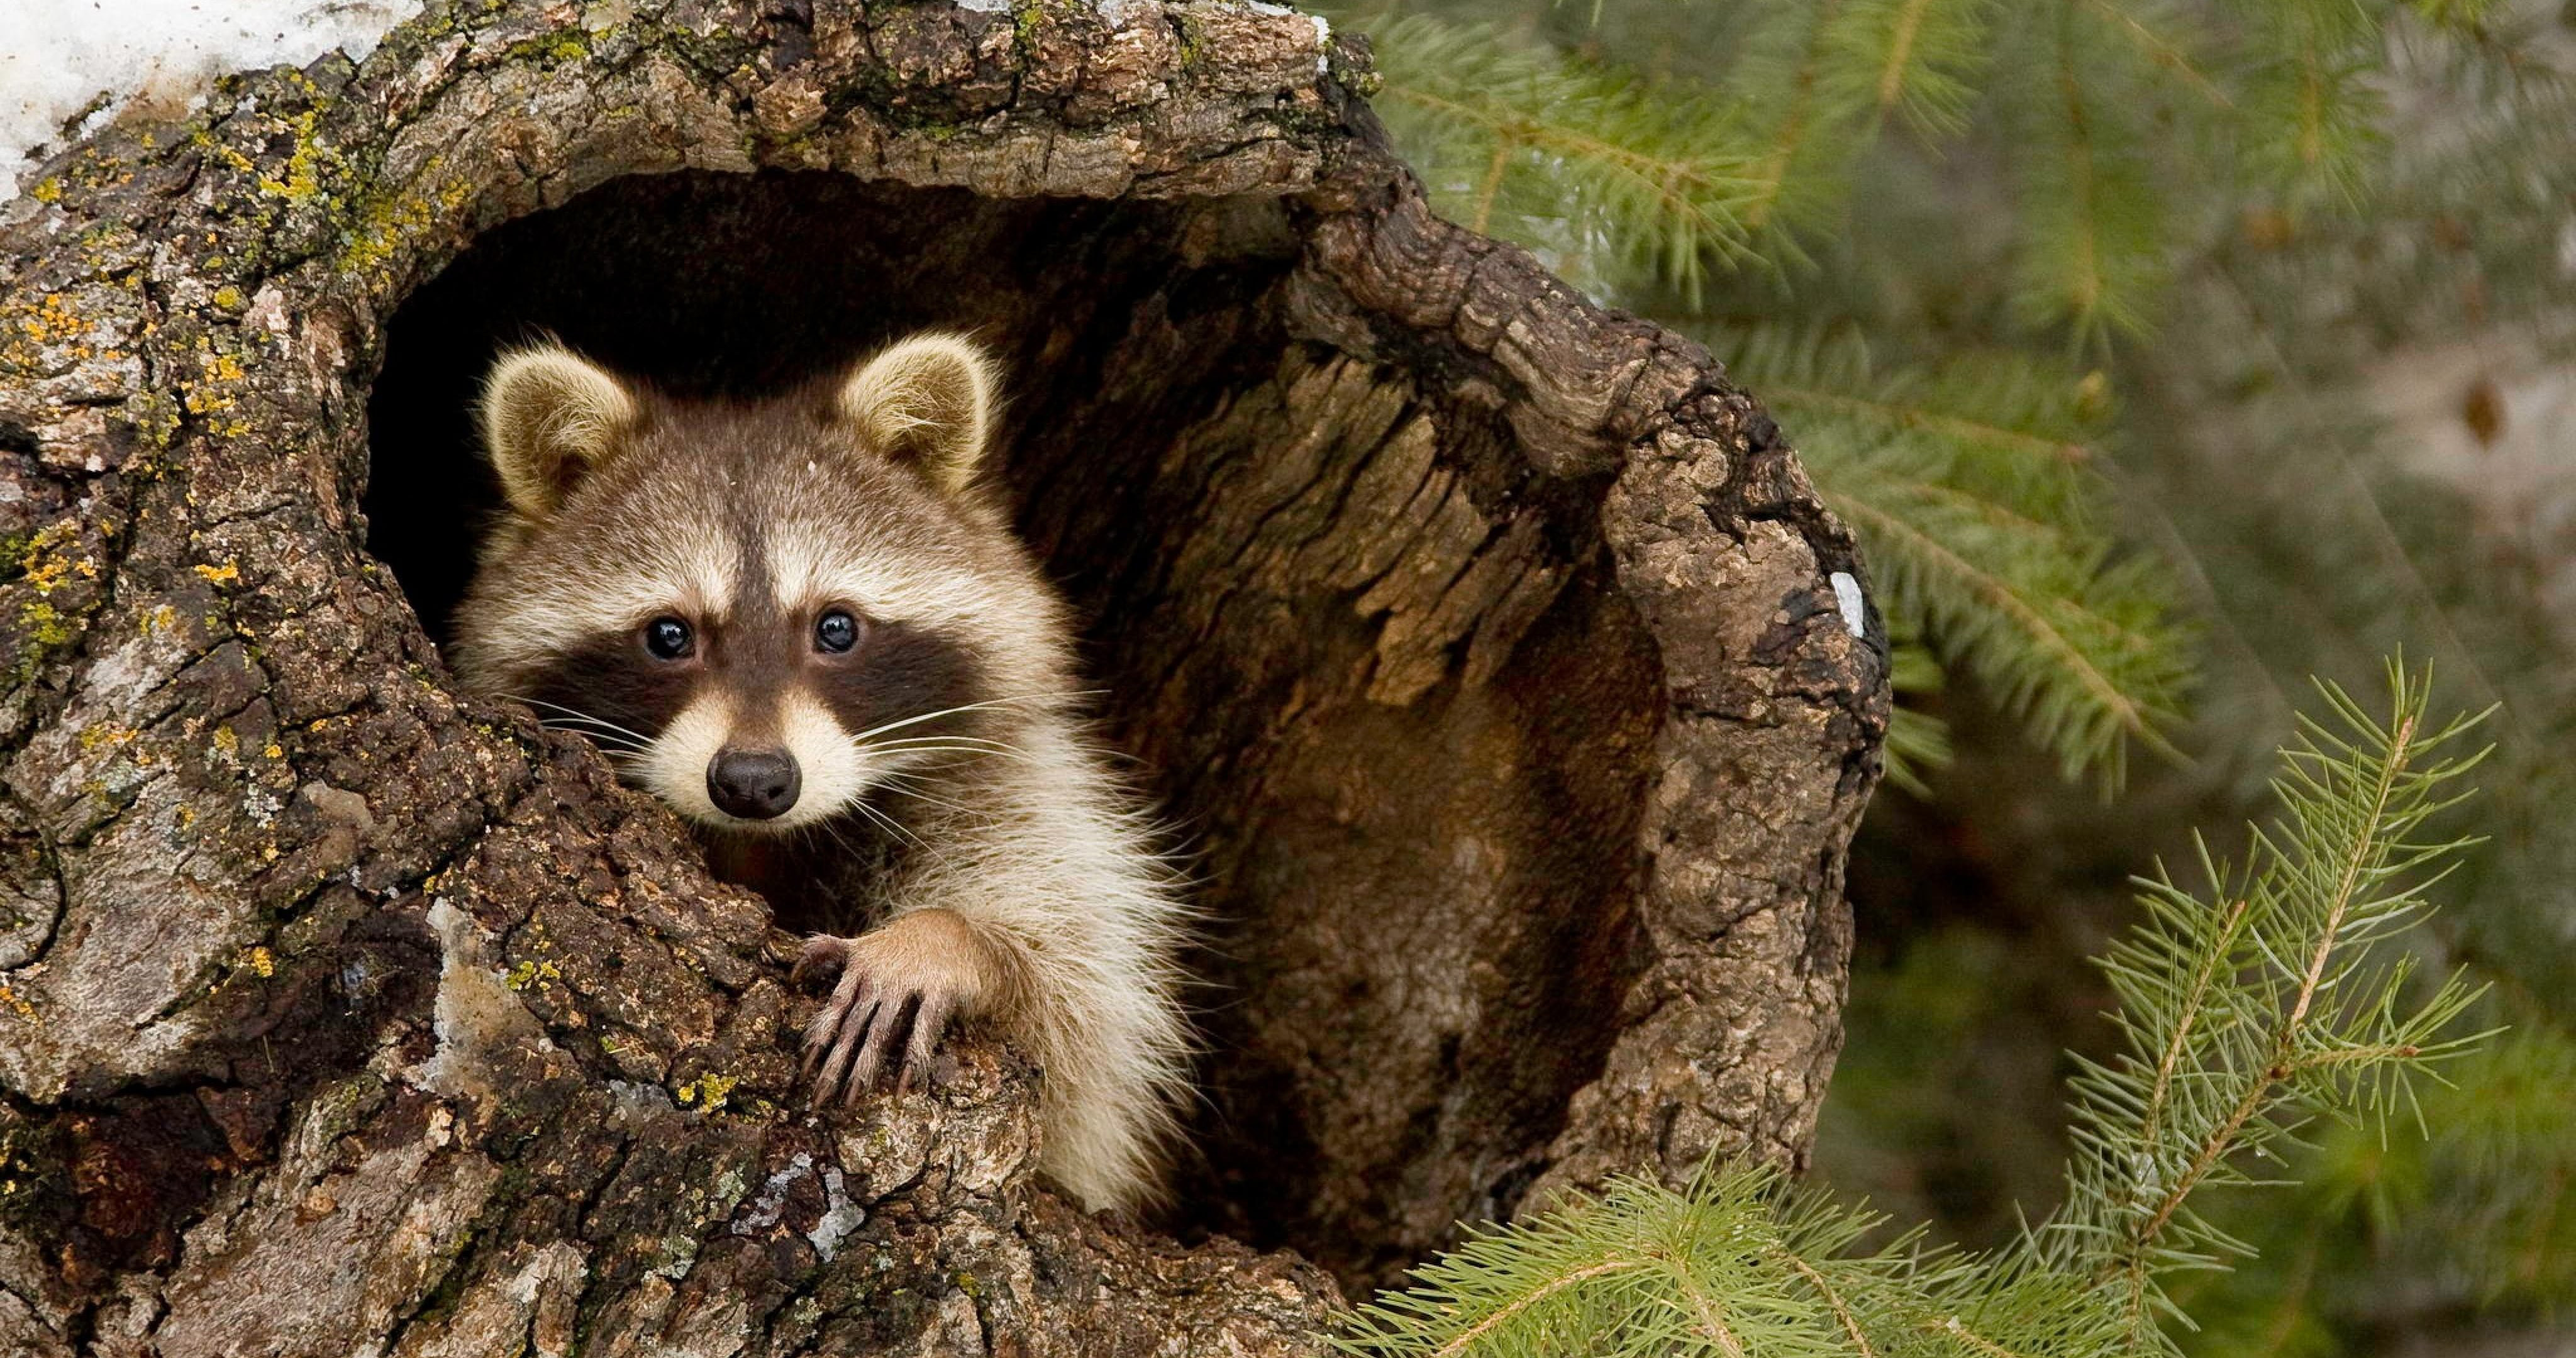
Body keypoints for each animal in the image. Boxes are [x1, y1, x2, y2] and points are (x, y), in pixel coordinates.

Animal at [448, 333, 1192, 1212]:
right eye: (669, 636)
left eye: (836, 628)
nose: (752, 781)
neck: (765, 842)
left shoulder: (1017, 782)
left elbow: (1080, 1008)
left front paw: (947, 939)